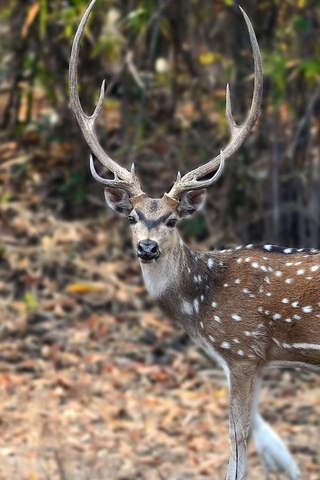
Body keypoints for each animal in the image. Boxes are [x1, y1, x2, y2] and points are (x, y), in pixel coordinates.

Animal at [69, 0, 318, 480]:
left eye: (171, 220)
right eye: (133, 216)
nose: (146, 247)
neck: (201, 304)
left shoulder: (242, 349)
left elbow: (238, 435)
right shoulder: (250, 359)